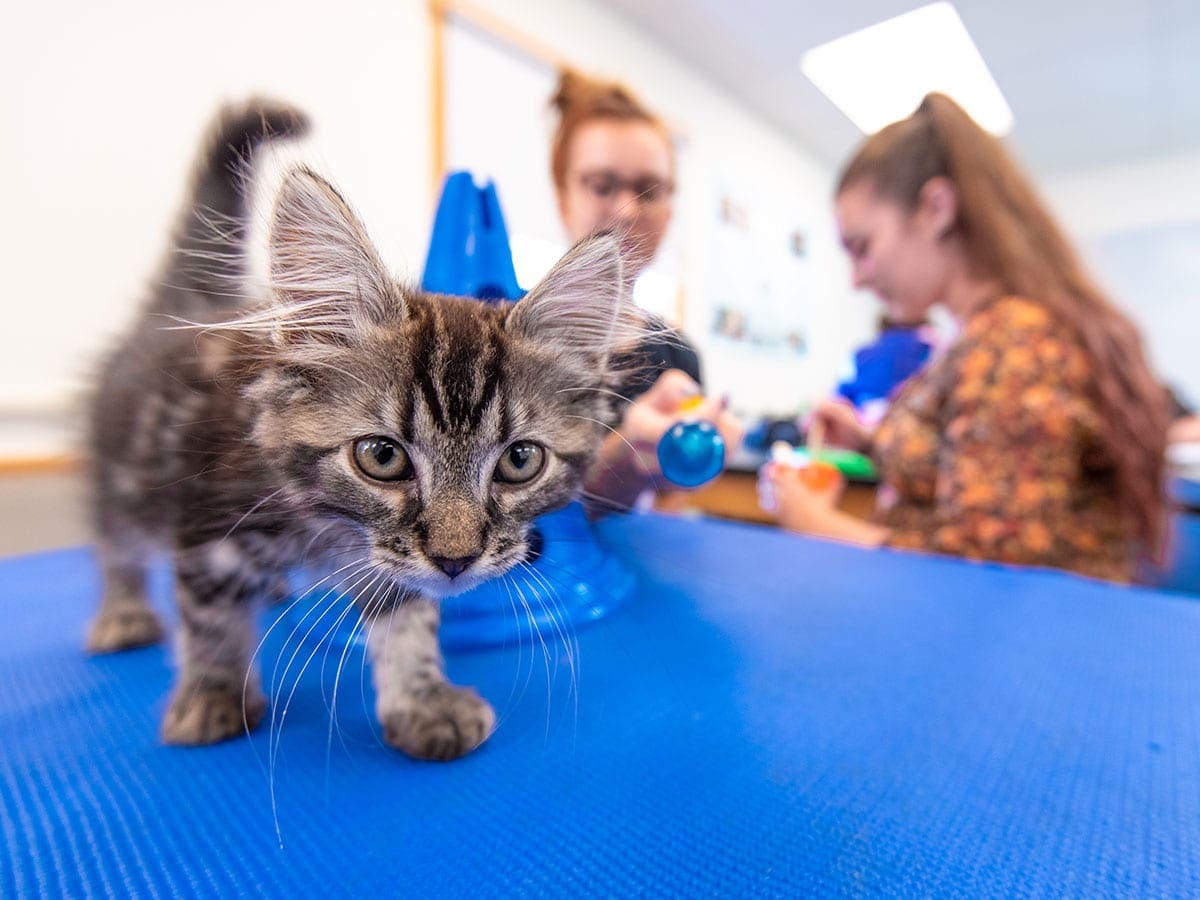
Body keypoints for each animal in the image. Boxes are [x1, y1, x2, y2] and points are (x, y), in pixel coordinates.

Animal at [87, 100, 638, 763]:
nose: (456, 561)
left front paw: (421, 700)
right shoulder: (205, 520)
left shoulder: (393, 566)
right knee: (116, 543)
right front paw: (212, 693)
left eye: (520, 461)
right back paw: (123, 613)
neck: (324, 525)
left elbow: (407, 619)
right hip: (121, 474)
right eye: (381, 456)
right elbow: (211, 617)